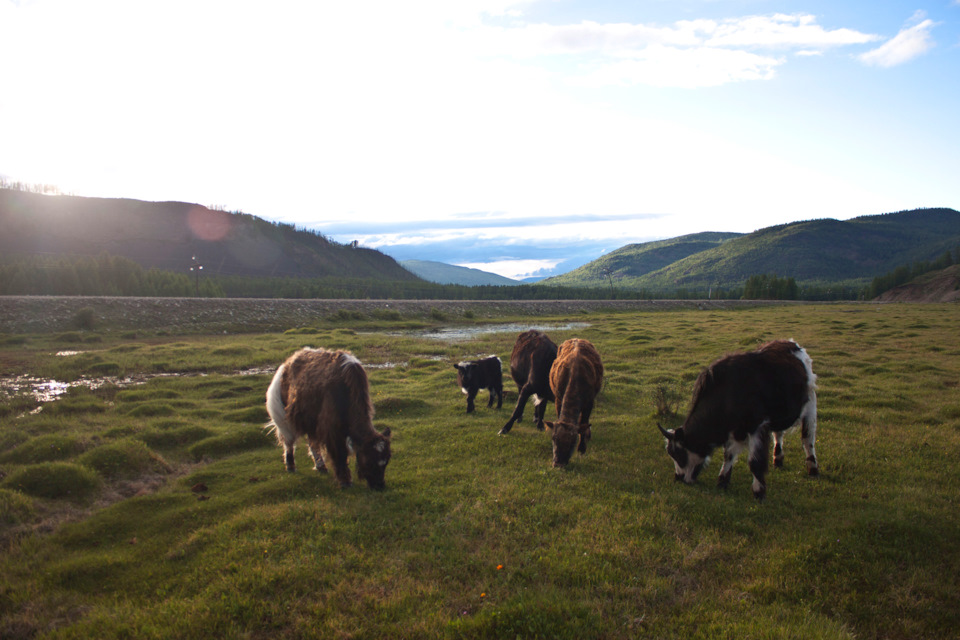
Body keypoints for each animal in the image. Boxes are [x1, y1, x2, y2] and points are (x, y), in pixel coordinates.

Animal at [660, 338, 816, 502]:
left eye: (678, 454)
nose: (678, 478)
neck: (729, 393)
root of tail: (791, 343)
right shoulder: (733, 430)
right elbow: (728, 455)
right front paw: (722, 482)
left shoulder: (757, 427)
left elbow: (754, 462)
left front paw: (759, 492)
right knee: (778, 434)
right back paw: (778, 459)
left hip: (811, 404)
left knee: (807, 438)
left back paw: (813, 468)